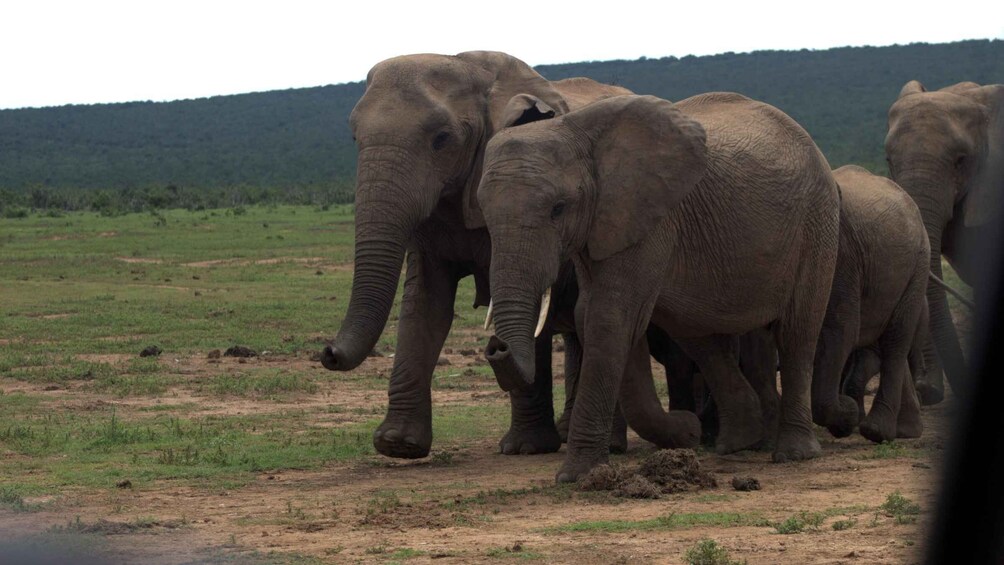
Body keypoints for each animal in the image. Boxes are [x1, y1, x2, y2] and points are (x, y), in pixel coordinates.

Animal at [319, 52, 698, 460]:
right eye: (354, 137)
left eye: (442, 139)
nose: (328, 352)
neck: (472, 69)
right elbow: (425, 305)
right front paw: (398, 445)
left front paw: (525, 448)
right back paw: (570, 433)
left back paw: (604, 445)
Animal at [478, 93, 841, 481]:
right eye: (483, 215)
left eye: (558, 209)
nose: (496, 348)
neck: (578, 131)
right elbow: (595, 315)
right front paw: (685, 433)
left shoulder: (648, 216)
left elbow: (611, 317)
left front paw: (580, 477)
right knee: (698, 333)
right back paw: (737, 443)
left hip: (817, 222)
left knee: (797, 333)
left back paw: (793, 454)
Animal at [811, 165, 928, 443]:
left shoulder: (842, 253)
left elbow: (841, 329)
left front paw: (846, 418)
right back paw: (906, 430)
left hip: (919, 264)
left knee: (896, 339)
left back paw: (877, 431)